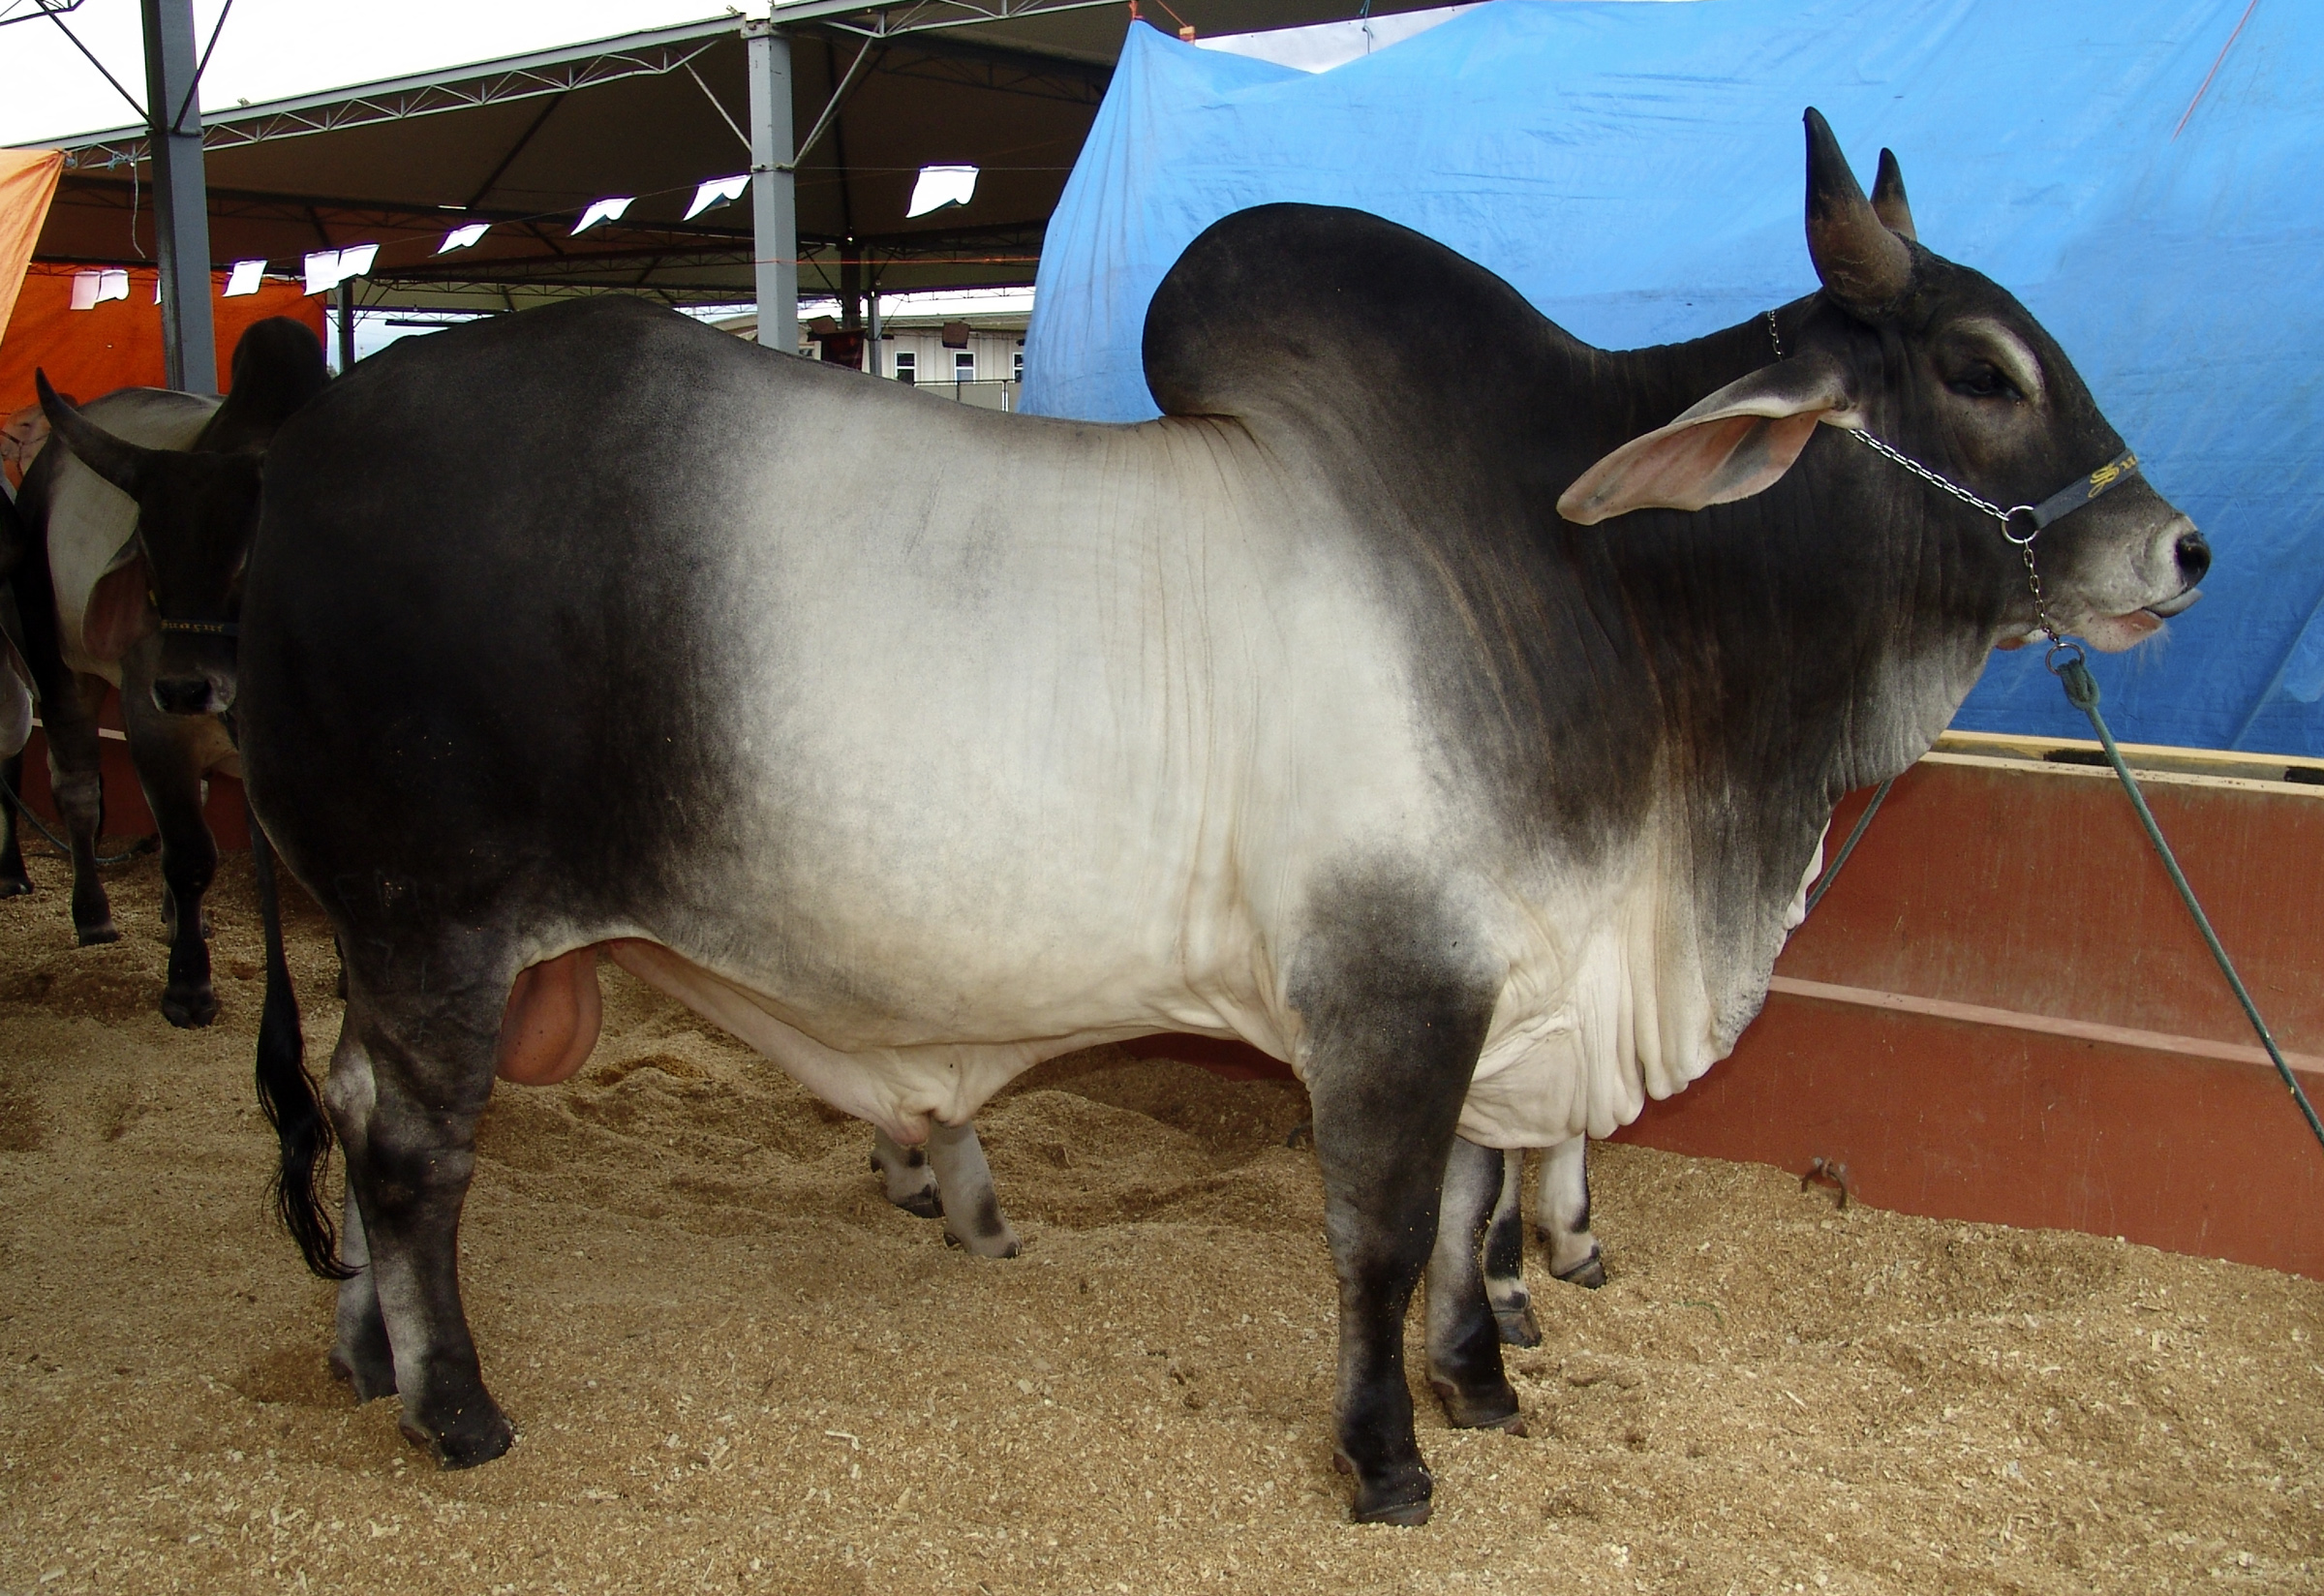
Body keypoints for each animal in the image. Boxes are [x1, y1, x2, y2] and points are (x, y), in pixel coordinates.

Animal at [240, 115, 2212, 1523]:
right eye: (1980, 367)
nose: (2179, 546)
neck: (1619, 600)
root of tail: (288, 466)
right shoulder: (1396, 989)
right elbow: (1384, 1229)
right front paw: (1388, 1458)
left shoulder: (1503, 975)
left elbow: (1476, 1210)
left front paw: (1483, 1383)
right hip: (434, 918)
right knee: (412, 1159)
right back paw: (458, 1409)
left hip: (397, 944)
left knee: (345, 1111)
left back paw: (358, 1358)